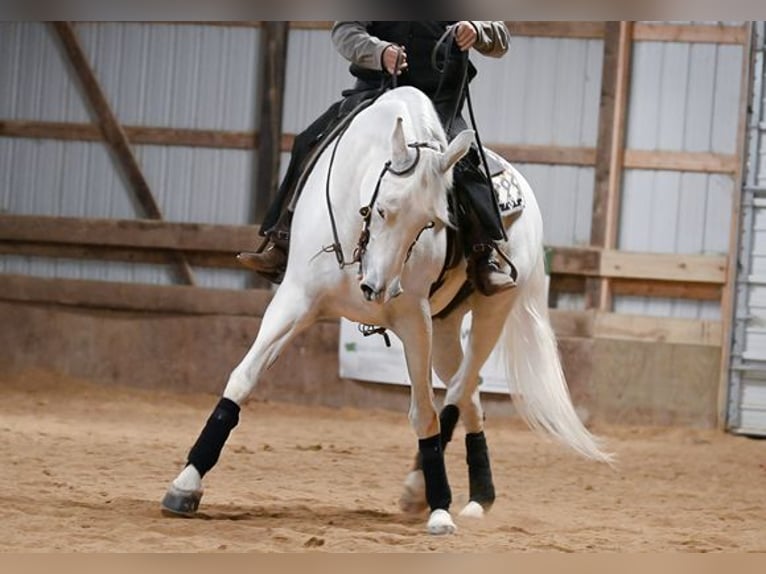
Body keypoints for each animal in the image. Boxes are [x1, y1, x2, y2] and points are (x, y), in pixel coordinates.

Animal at [162, 85, 612, 536]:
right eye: (382, 208)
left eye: (431, 223)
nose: (377, 288)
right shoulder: (294, 300)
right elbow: (243, 378)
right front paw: (186, 484)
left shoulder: (413, 319)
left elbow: (424, 414)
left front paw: (440, 509)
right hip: (446, 327)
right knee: (471, 393)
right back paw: (475, 494)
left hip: (491, 313)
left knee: (458, 389)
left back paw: (428, 488)